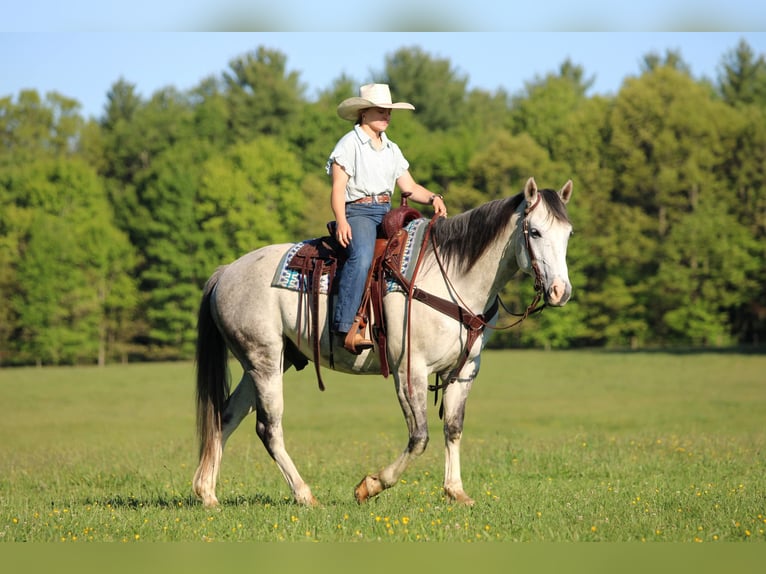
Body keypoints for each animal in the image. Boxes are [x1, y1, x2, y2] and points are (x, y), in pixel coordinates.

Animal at [193, 177, 573, 508]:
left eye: (568, 233)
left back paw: (207, 493)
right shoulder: (410, 370)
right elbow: (419, 436)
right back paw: (304, 495)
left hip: (262, 364)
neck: (451, 277)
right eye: (535, 231)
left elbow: (452, 428)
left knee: (226, 417)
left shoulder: (464, 370)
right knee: (268, 429)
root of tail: (226, 272)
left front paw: (455, 491)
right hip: (265, 362)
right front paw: (370, 485)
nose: (560, 291)